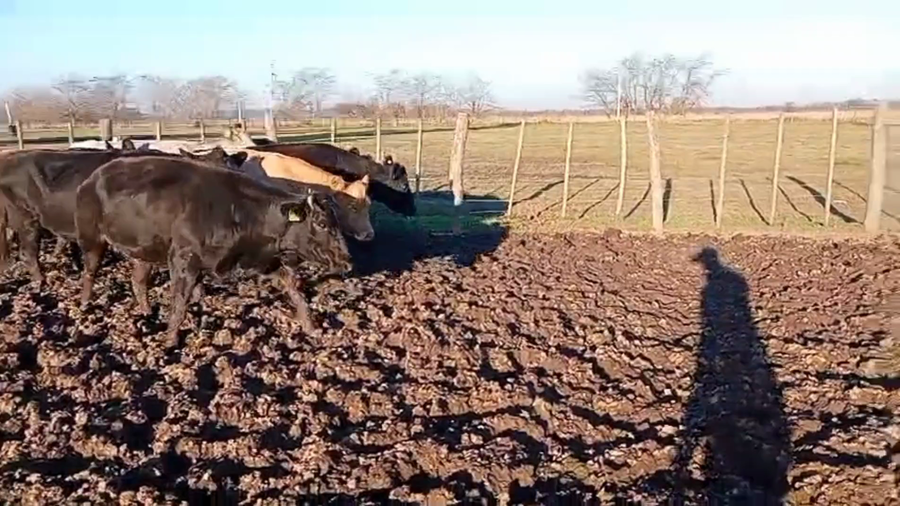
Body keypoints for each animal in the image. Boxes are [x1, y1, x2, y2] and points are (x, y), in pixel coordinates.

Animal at [75, 156, 352, 346]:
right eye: (322, 223)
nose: (347, 261)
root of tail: (94, 177)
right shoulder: (183, 260)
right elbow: (179, 302)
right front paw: (170, 340)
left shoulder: (265, 262)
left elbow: (296, 293)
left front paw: (311, 327)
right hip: (92, 238)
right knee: (90, 272)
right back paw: (85, 306)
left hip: (145, 250)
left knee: (138, 281)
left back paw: (145, 312)